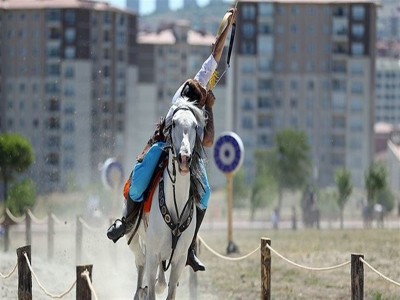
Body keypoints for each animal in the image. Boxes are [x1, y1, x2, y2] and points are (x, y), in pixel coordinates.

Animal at [126, 99, 206, 300]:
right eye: (174, 124)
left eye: (195, 126)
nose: (184, 159)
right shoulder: (153, 254)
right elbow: (152, 289)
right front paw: (147, 290)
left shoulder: (179, 259)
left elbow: (169, 290)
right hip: (134, 239)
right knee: (140, 262)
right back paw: (140, 290)